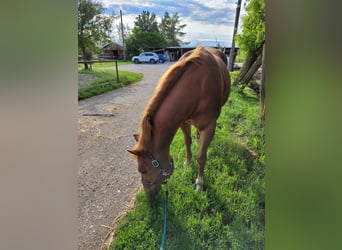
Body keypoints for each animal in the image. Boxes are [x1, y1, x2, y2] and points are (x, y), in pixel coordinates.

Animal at [127, 46, 230, 196]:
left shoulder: (209, 127)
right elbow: (187, 142)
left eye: (143, 170)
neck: (197, 86)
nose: (149, 195)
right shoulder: (183, 122)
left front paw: (199, 184)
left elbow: (201, 156)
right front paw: (187, 162)